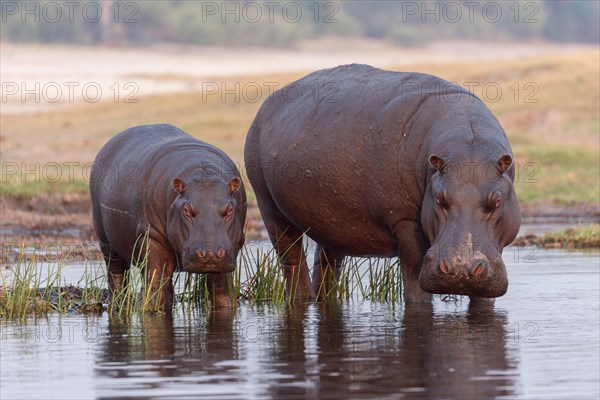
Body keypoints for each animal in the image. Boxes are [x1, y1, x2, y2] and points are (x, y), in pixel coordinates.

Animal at [91, 125, 246, 310]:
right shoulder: (152, 237)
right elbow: (155, 284)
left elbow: (221, 290)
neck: (203, 176)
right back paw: (117, 304)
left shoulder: (231, 248)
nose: (210, 253)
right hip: (106, 240)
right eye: (186, 209)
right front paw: (151, 309)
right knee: (116, 271)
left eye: (230, 209)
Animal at [244, 64, 520, 304]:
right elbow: (414, 280)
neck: (467, 140)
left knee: (327, 263)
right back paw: (300, 298)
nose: (460, 269)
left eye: (497, 200)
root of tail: (267, 104)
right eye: (439, 197)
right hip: (268, 205)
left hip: (329, 223)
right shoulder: (405, 220)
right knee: (290, 257)